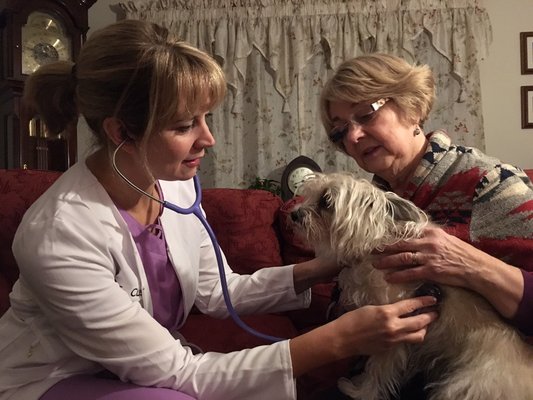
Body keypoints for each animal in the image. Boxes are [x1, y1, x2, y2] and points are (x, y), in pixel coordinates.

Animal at [290, 172, 532, 400]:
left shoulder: (397, 334)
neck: (371, 247)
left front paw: (361, 392)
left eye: (325, 201)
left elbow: (378, 371)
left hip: (460, 387)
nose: (294, 213)